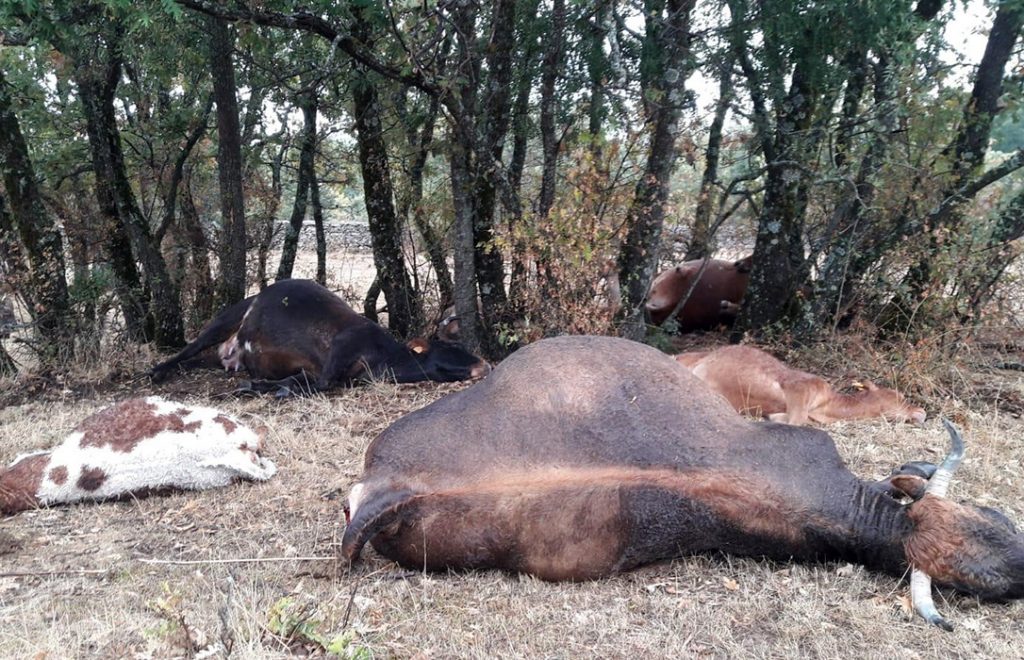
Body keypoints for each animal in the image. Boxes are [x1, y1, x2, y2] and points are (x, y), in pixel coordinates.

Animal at [149, 279, 490, 394]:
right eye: (447, 348)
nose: (485, 365)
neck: (382, 357)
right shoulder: (335, 358)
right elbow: (319, 384)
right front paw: (258, 387)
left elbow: (299, 381)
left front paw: (261, 386)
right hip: (223, 321)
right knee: (187, 349)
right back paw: (156, 371)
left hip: (217, 355)